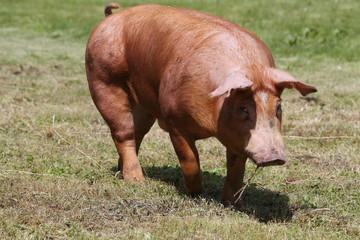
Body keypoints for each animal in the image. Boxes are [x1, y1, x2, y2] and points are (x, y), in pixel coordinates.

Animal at [86, 2, 316, 205]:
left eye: (278, 107)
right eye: (243, 108)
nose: (273, 157)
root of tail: (110, 17)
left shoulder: (237, 137)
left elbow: (236, 167)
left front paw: (233, 203)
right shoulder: (174, 121)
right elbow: (190, 160)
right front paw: (197, 193)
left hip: (143, 104)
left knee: (137, 134)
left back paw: (122, 172)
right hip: (104, 82)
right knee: (123, 134)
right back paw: (137, 182)